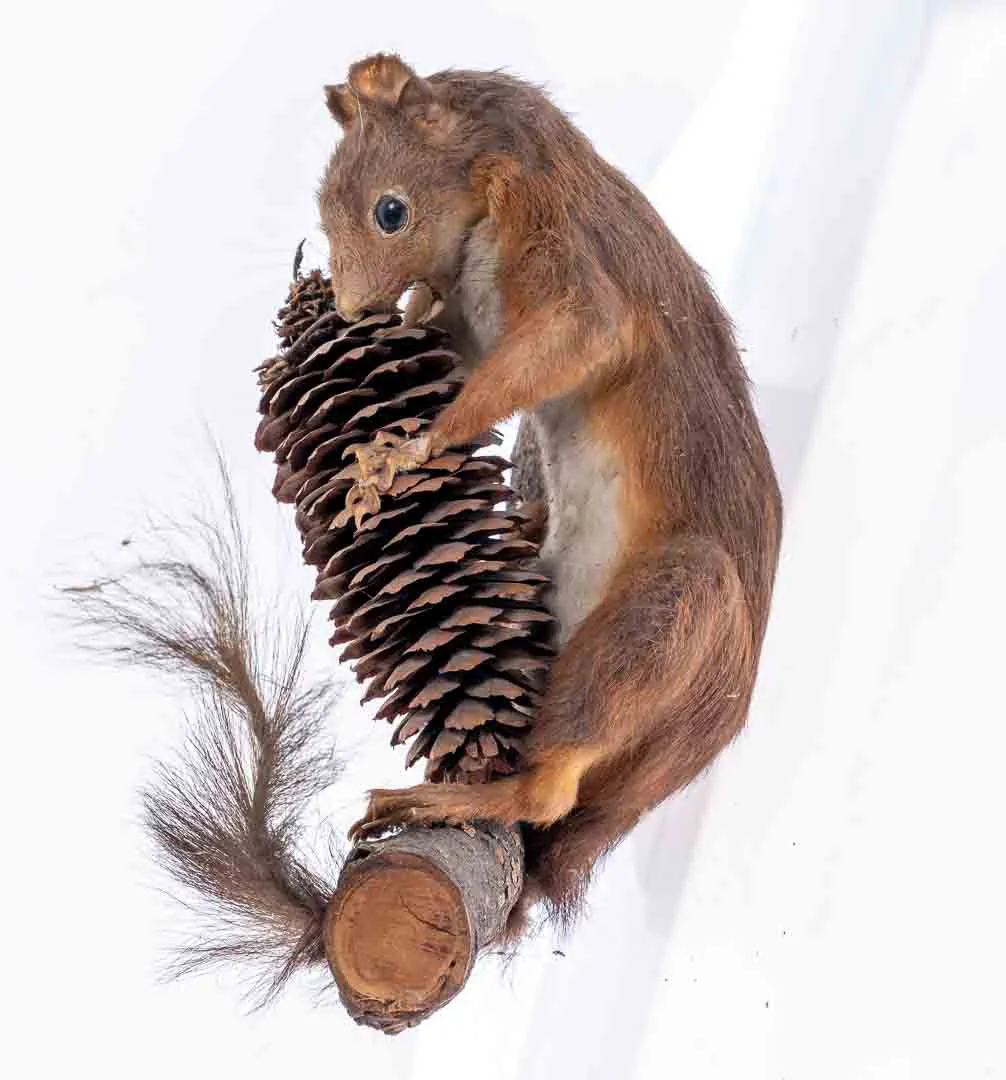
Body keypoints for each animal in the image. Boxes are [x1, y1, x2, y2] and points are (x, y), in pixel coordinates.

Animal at [321, 54, 782, 926]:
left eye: (391, 211)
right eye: (323, 202)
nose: (352, 310)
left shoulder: (560, 245)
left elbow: (579, 331)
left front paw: (405, 451)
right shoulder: (469, 319)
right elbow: (455, 347)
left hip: (667, 613)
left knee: (549, 791)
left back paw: (436, 801)